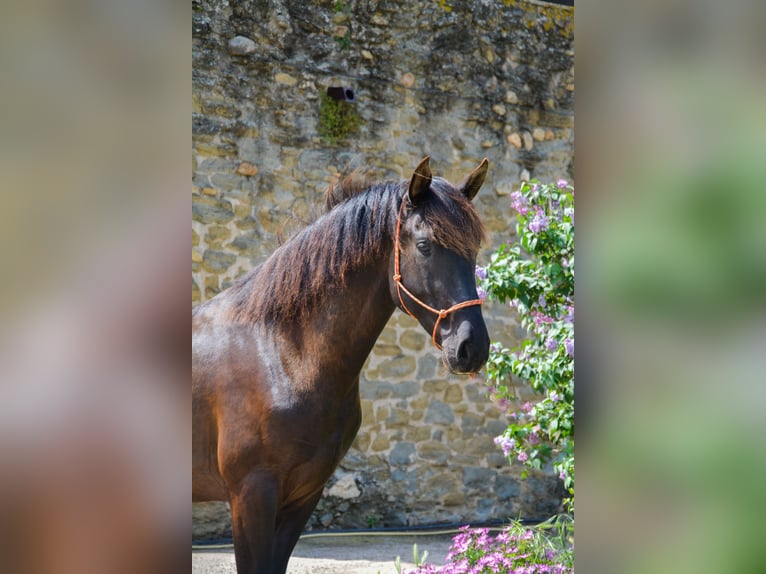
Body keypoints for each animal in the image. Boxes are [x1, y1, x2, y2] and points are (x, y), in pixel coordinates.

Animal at [192, 156, 491, 574]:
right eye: (425, 245)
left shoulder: (304, 495)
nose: (471, 347)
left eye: (474, 249)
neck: (280, 355)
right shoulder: (250, 495)